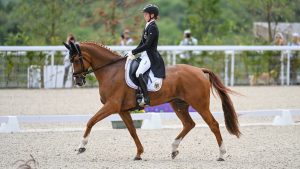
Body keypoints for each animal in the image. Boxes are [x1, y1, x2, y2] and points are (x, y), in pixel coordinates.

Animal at [63, 41, 241, 161]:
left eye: (76, 59)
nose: (78, 81)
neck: (110, 71)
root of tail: (199, 70)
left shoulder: (112, 106)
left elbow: (91, 121)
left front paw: (81, 146)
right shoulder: (122, 110)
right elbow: (132, 131)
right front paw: (139, 153)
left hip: (200, 104)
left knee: (213, 124)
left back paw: (222, 154)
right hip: (178, 104)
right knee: (189, 124)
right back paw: (174, 149)